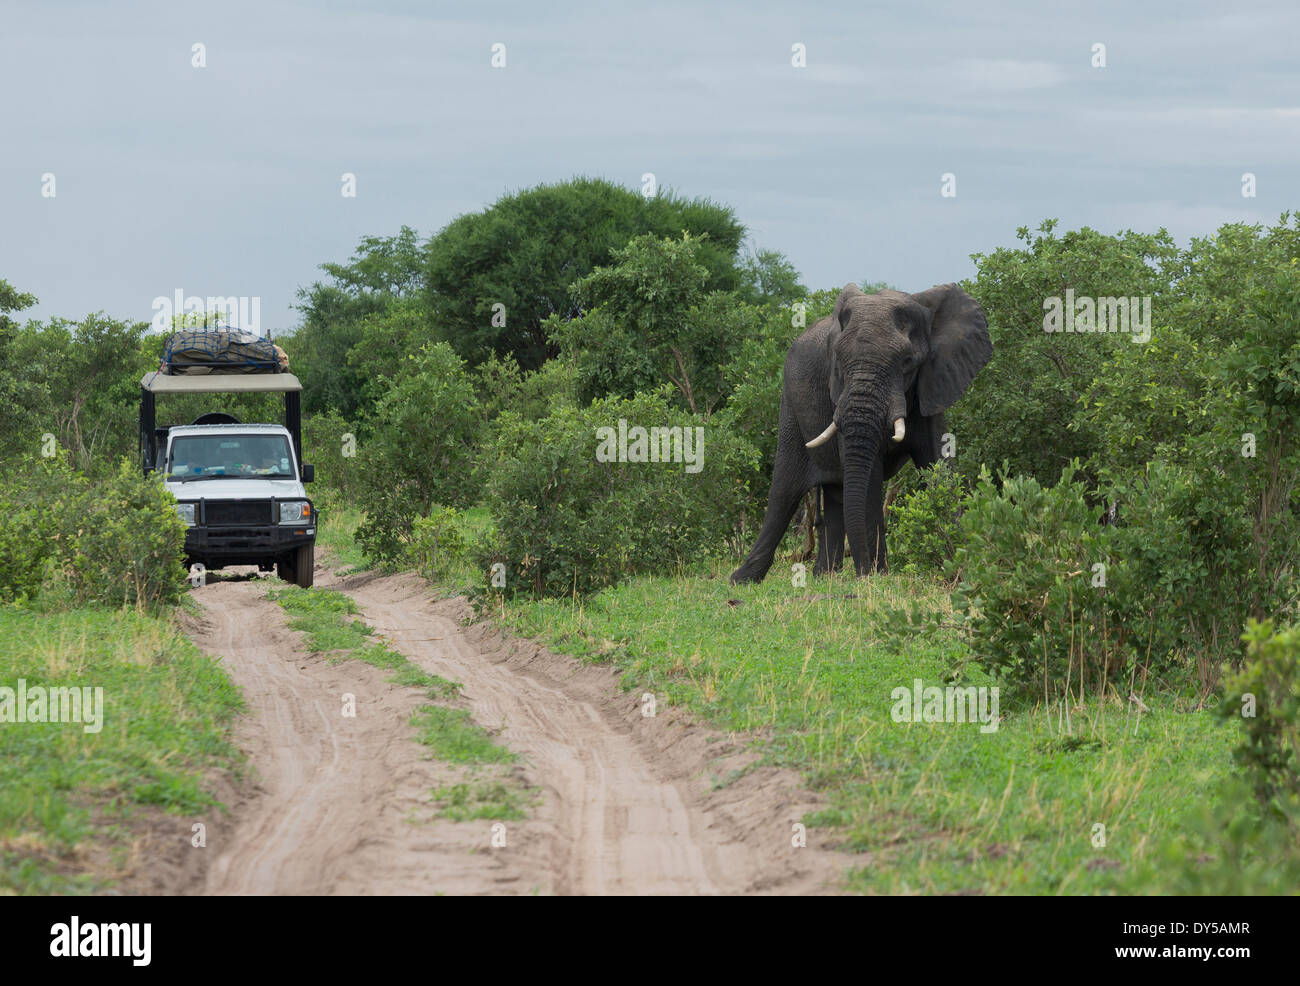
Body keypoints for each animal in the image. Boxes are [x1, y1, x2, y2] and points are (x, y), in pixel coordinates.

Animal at [728, 282, 987, 582]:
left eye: (907, 361)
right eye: (838, 362)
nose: (864, 570)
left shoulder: (932, 384)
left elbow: (938, 464)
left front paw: (962, 568)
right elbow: (870, 476)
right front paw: (875, 577)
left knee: (834, 492)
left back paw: (824, 575)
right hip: (790, 403)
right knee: (785, 489)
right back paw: (742, 579)